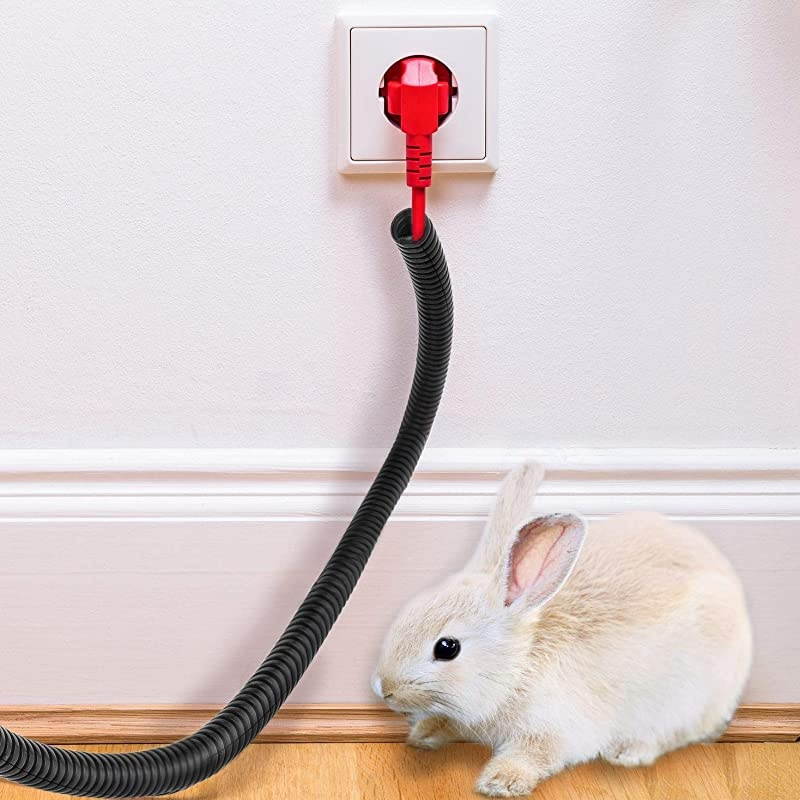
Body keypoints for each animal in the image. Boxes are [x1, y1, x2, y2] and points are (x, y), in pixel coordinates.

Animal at [372, 462, 752, 797]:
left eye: (447, 648)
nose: (384, 688)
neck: (517, 664)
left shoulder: (555, 729)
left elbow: (535, 754)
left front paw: (500, 782)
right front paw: (423, 735)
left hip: (686, 696)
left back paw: (628, 751)